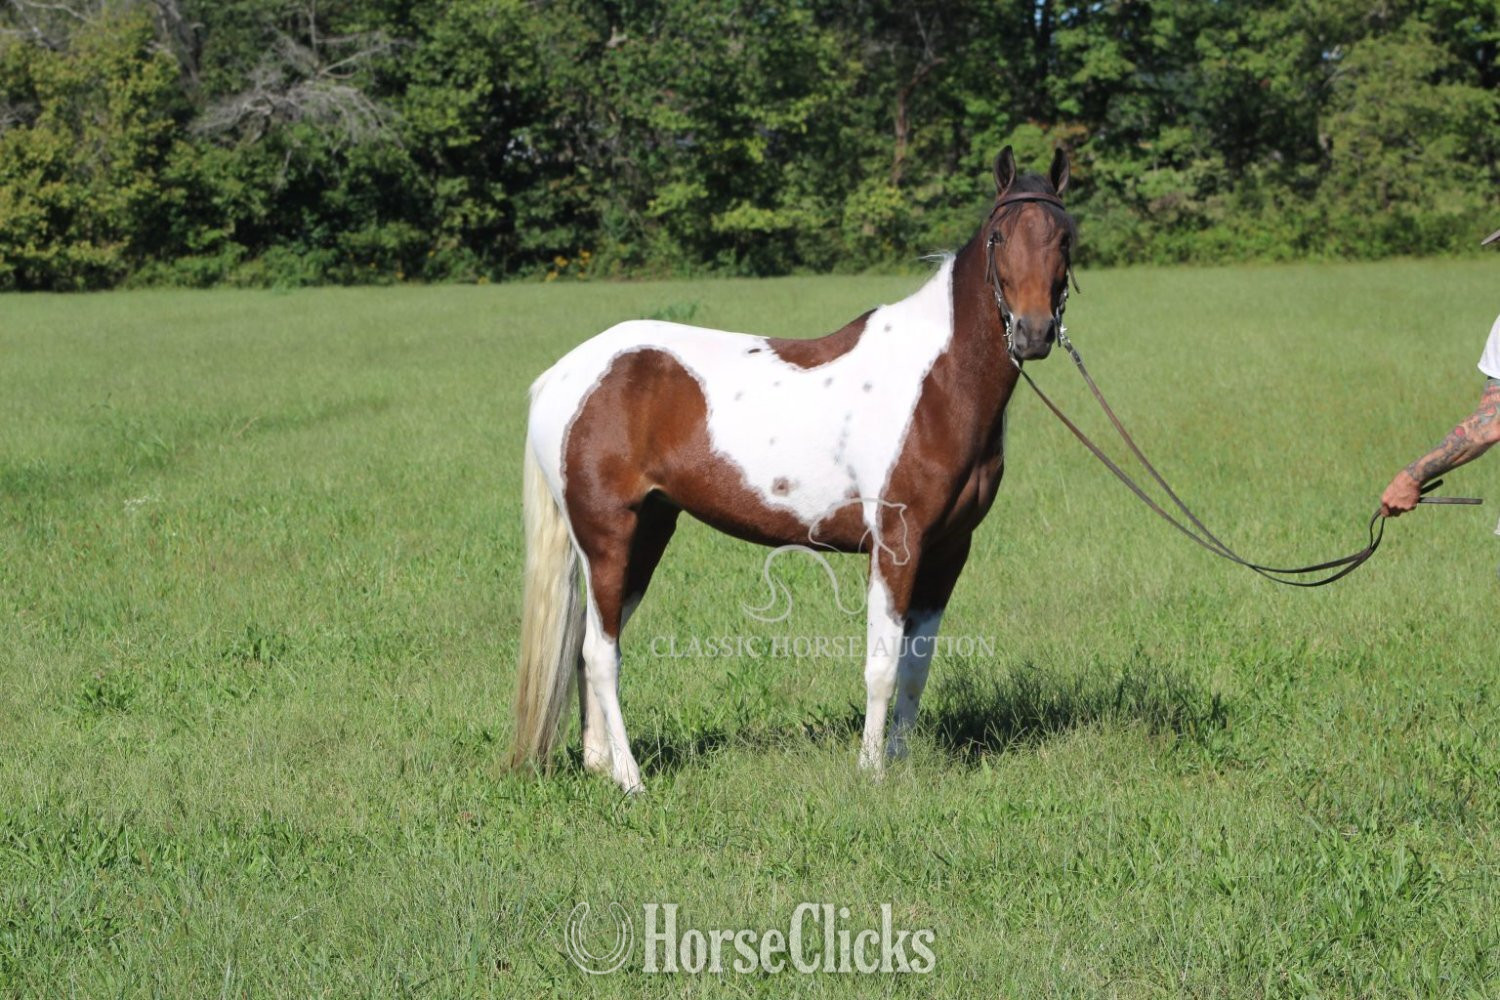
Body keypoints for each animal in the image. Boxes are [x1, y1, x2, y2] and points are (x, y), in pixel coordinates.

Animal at [510, 146, 1076, 793]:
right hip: (607, 536)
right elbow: (882, 665)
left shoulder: (949, 549)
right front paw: (871, 772)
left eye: (1065, 236)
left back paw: (599, 764)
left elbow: (916, 666)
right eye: (1000, 235)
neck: (937, 384)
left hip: (646, 533)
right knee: (601, 655)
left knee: (588, 644)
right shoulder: (897, 543)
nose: (1033, 333)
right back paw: (631, 780)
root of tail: (563, 375)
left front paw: (901, 764)